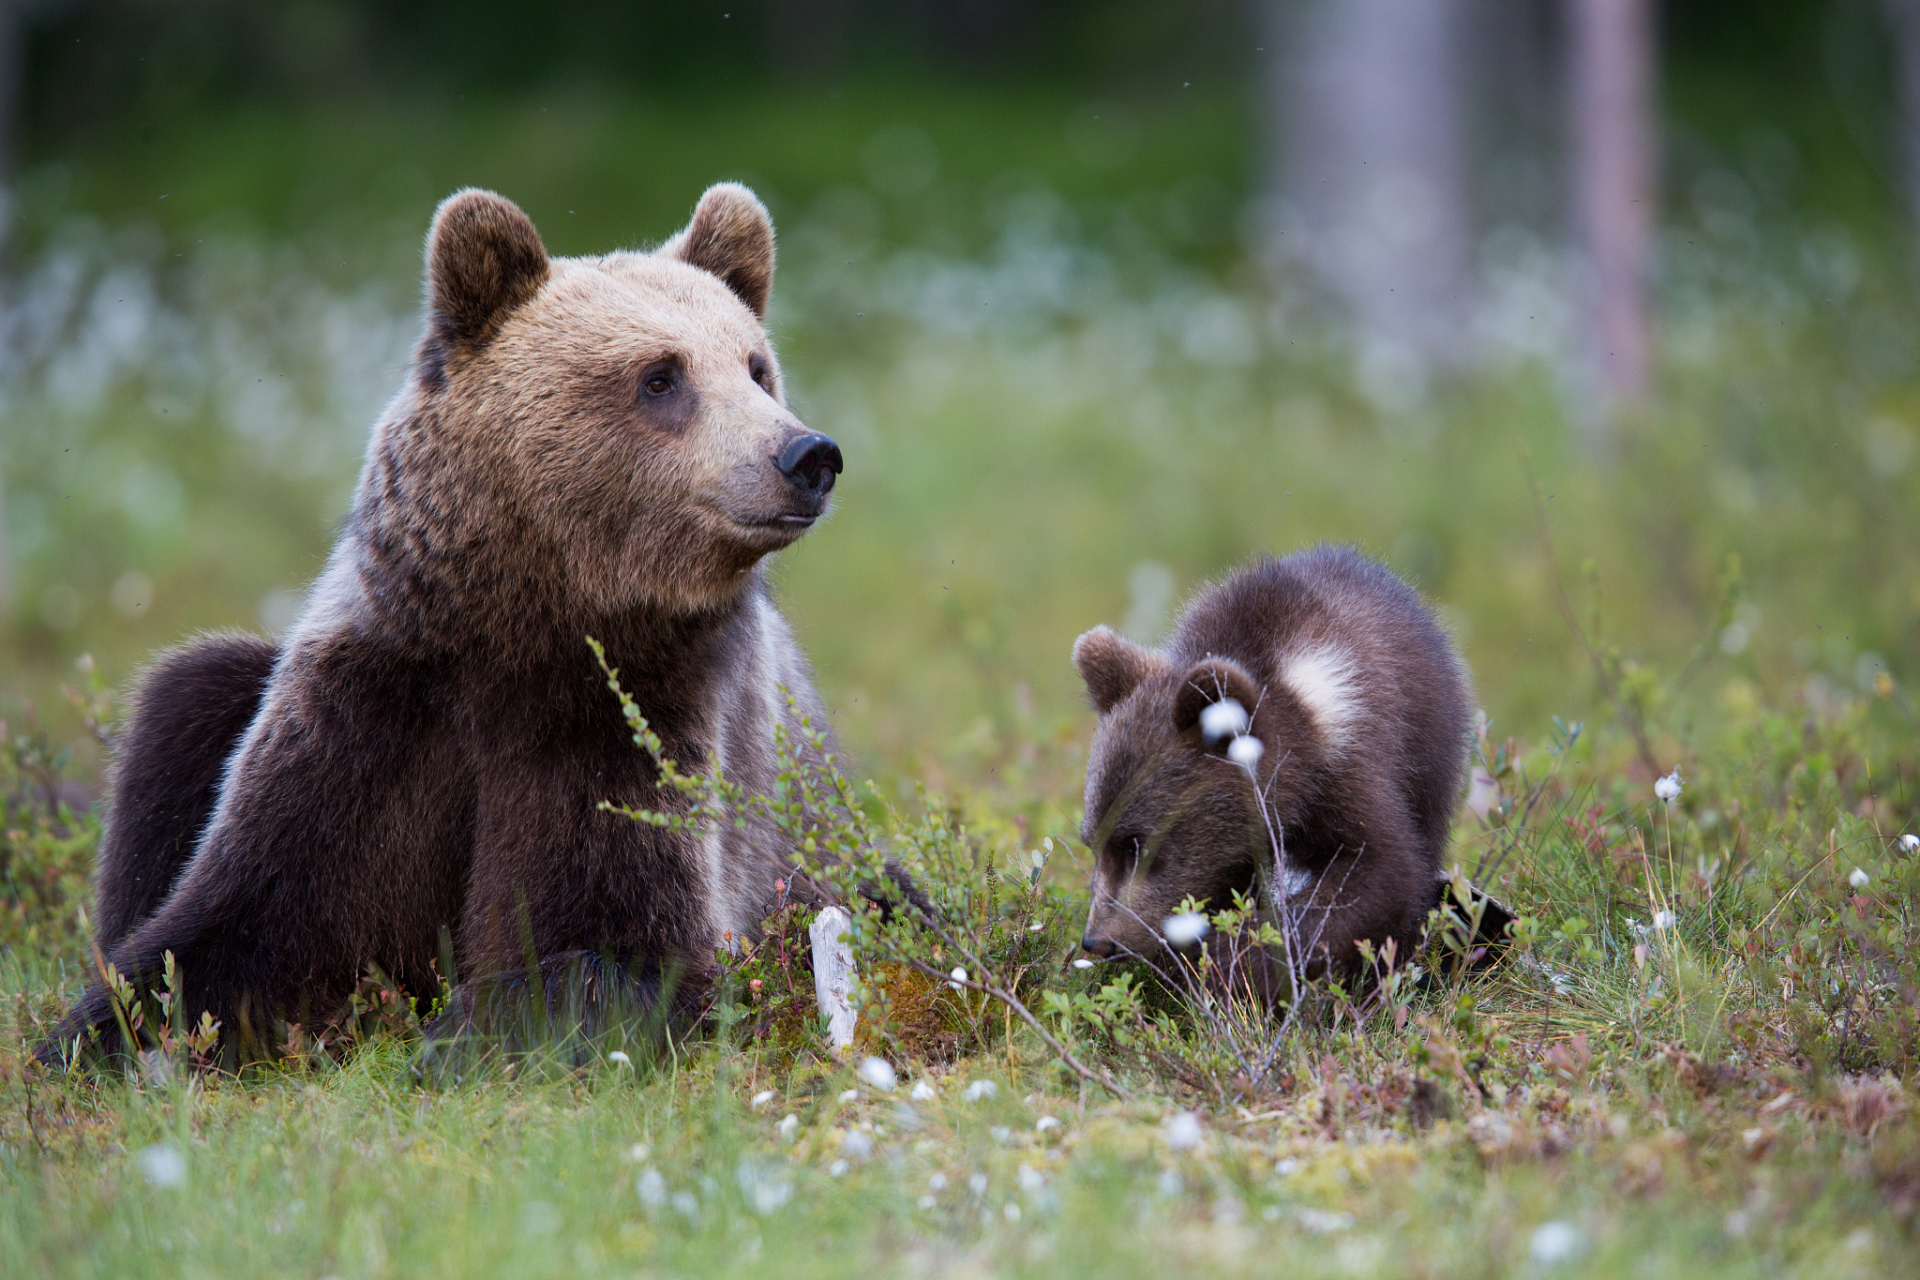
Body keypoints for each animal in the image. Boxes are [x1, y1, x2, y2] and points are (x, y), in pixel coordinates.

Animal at [43, 183, 853, 1064]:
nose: (806, 455)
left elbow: (624, 940)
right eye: (661, 376)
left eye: (757, 367)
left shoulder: (636, 716)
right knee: (187, 696)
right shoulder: (378, 711)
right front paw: (94, 1044)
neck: (528, 622)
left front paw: (465, 1035)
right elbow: (240, 928)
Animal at [1071, 545, 1504, 987]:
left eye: (1138, 845)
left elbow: (1382, 871)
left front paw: (1233, 959)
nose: (1098, 941)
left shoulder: (1347, 765)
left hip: (1428, 750)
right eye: (1092, 841)